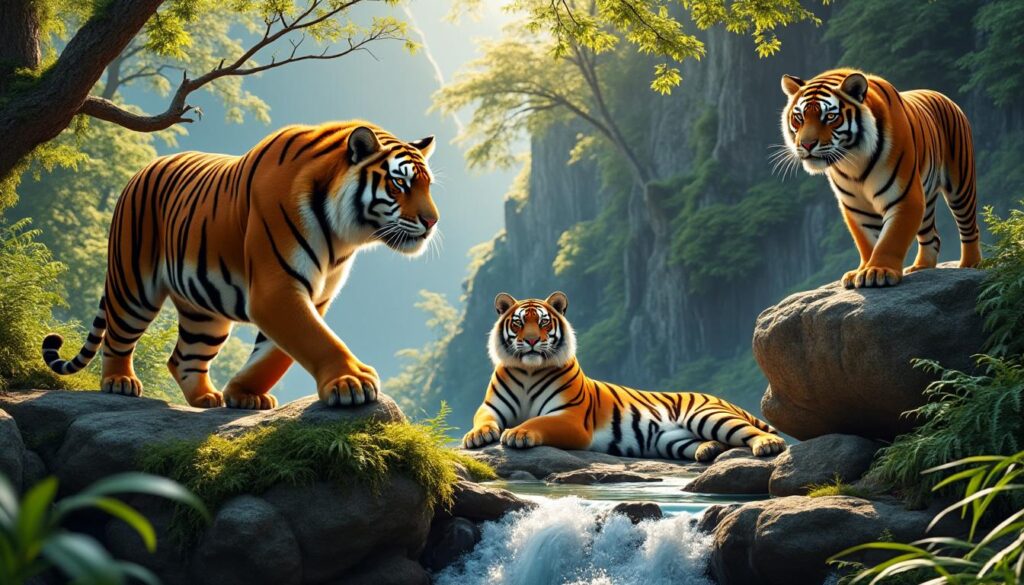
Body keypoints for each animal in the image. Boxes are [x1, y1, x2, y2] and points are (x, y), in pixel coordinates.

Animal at [41, 121, 439, 410]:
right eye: (400, 184)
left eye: (428, 186)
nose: (432, 221)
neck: (344, 236)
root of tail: (143, 168)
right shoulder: (276, 289)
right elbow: (316, 338)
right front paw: (351, 381)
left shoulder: (315, 295)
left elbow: (273, 355)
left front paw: (243, 394)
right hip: (133, 283)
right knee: (118, 336)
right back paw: (119, 382)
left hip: (205, 313)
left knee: (184, 357)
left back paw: (206, 397)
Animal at [461, 292, 786, 462]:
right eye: (518, 324)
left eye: (542, 323)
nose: (530, 341)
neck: (529, 370)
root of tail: (720, 398)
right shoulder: (492, 406)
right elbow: (483, 419)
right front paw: (477, 436)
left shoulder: (571, 419)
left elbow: (538, 421)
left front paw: (518, 433)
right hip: (671, 440)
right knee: (710, 443)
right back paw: (708, 450)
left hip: (707, 416)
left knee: (750, 432)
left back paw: (767, 445)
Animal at [779, 68, 981, 288]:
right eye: (799, 118)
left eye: (830, 116)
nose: (806, 144)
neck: (853, 159)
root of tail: (941, 95)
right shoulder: (856, 206)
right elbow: (867, 241)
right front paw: (862, 270)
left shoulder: (905, 197)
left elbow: (891, 239)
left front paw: (878, 271)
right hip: (926, 197)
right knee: (932, 236)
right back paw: (921, 266)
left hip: (959, 184)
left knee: (969, 226)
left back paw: (970, 264)